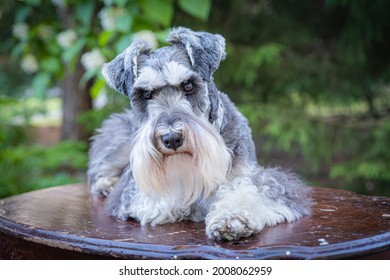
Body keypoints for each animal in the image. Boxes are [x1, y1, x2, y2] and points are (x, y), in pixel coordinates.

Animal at [87, 26, 310, 241]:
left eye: (188, 85)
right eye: (146, 94)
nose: (171, 138)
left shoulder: (257, 177)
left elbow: (252, 189)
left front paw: (232, 218)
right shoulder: (133, 190)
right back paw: (106, 184)